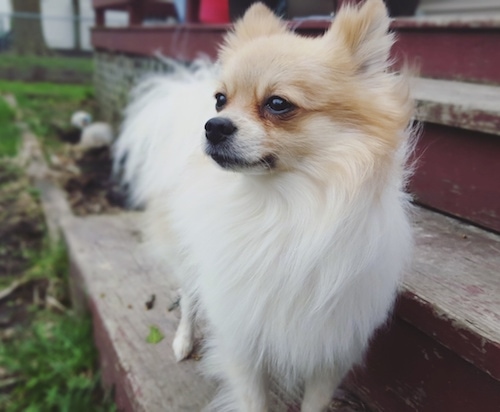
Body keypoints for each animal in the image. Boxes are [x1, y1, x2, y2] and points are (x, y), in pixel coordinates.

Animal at [114, 1, 414, 410]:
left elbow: (315, 401)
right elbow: (253, 398)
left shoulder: (331, 346)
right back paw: (183, 340)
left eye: (277, 104)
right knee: (189, 297)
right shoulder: (241, 337)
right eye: (220, 99)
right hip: (189, 258)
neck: (281, 207)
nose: (213, 125)